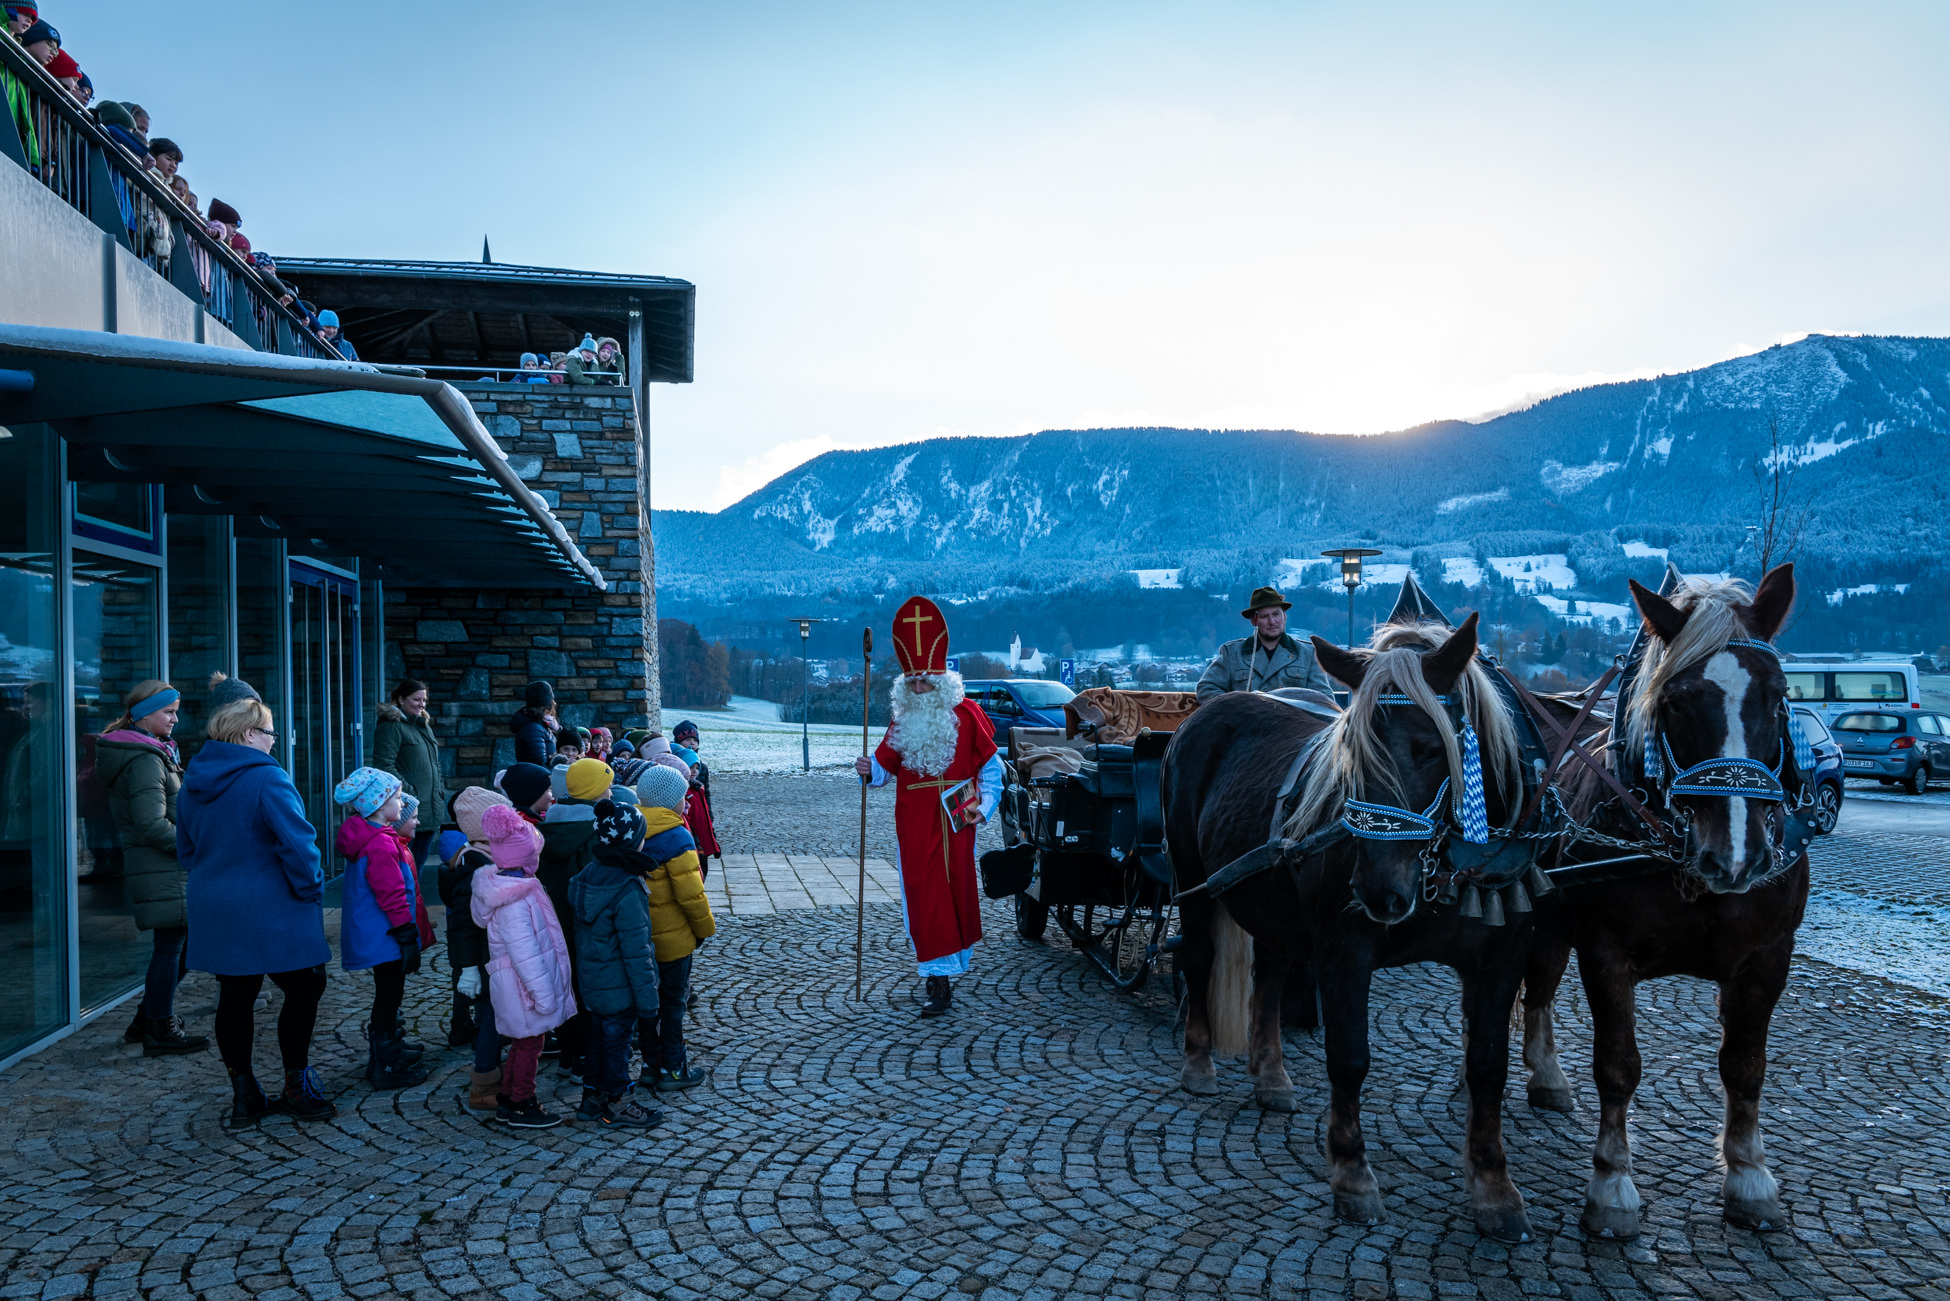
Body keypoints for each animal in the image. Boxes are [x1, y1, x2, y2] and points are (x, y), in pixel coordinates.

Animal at [1163, 611, 1546, 1241]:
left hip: (1273, 903)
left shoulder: (1501, 960)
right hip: (1193, 879)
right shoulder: (1346, 951)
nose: (1377, 889)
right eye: (1350, 754)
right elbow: (1349, 1057)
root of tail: (1205, 714)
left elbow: (1489, 1068)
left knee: (1269, 976)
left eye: (1433, 749)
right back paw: (1198, 1063)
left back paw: (1271, 1078)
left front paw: (1495, 1190)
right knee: (1197, 957)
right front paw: (1351, 1175)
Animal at [1518, 563, 1813, 1239]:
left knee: (1541, 983)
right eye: (1675, 700)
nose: (1735, 856)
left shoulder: (1767, 958)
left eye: (1778, 693)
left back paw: (1546, 1077)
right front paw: (1611, 1186)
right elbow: (1618, 1065)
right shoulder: (1605, 952)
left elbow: (1745, 1065)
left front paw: (1750, 1177)